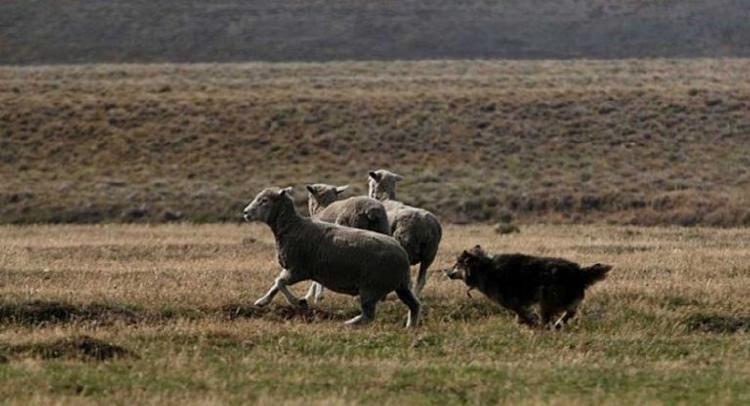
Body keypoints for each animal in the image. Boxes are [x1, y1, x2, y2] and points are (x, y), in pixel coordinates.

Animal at [244, 186, 420, 326]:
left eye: (264, 201)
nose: (246, 213)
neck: (293, 227)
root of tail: (402, 254)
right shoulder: (293, 268)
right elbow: (275, 284)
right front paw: (262, 301)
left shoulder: (299, 269)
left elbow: (279, 282)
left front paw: (299, 302)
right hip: (401, 285)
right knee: (415, 305)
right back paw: (410, 326)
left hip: (371, 287)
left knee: (368, 315)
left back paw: (349, 324)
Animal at [446, 244, 612, 330]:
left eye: (456, 265)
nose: (446, 272)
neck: (483, 268)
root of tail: (579, 272)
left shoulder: (513, 302)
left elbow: (523, 314)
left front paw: (529, 324)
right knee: (570, 312)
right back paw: (558, 324)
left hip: (545, 298)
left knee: (554, 316)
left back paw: (548, 326)